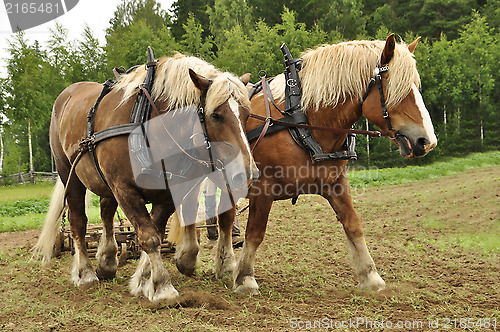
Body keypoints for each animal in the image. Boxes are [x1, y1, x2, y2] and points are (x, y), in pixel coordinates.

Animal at [35, 53, 260, 302]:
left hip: (104, 181)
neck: (149, 125)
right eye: (216, 115)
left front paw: (144, 280)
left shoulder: (167, 191)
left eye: (246, 115)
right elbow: (148, 236)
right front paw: (162, 286)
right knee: (78, 221)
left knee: (106, 213)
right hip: (69, 173)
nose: (248, 174)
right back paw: (85, 273)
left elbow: (156, 232)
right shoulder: (124, 188)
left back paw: (107, 261)